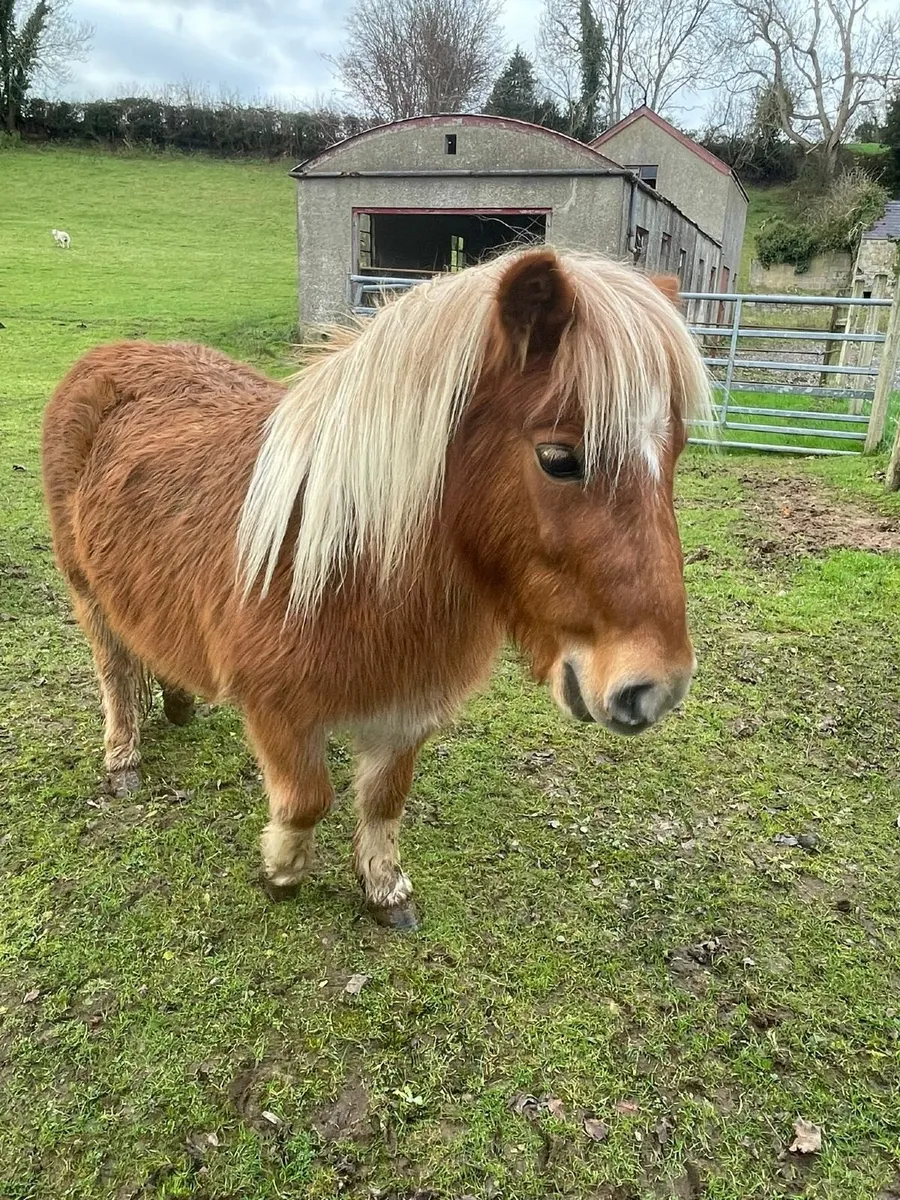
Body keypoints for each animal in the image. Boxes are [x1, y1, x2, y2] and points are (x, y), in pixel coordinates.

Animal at [42, 247, 712, 929]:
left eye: (677, 453)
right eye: (559, 458)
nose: (655, 689)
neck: (349, 564)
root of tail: (107, 356)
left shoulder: (405, 707)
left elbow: (386, 798)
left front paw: (385, 887)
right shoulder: (277, 711)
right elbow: (307, 799)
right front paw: (282, 873)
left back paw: (178, 702)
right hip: (85, 588)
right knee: (114, 666)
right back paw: (123, 757)